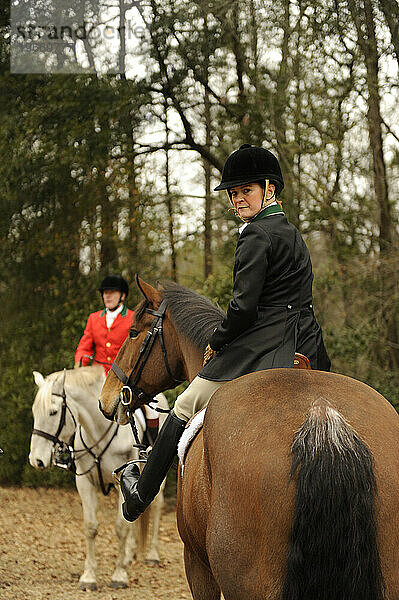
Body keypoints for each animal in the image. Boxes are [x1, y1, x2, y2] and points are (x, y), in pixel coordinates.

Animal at [28, 366, 170, 592]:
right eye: (34, 411)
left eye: (53, 412)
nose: (36, 460)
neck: (98, 430)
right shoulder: (85, 483)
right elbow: (91, 527)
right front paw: (89, 577)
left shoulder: (122, 481)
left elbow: (121, 527)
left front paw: (119, 575)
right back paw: (129, 555)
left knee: (156, 507)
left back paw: (152, 555)